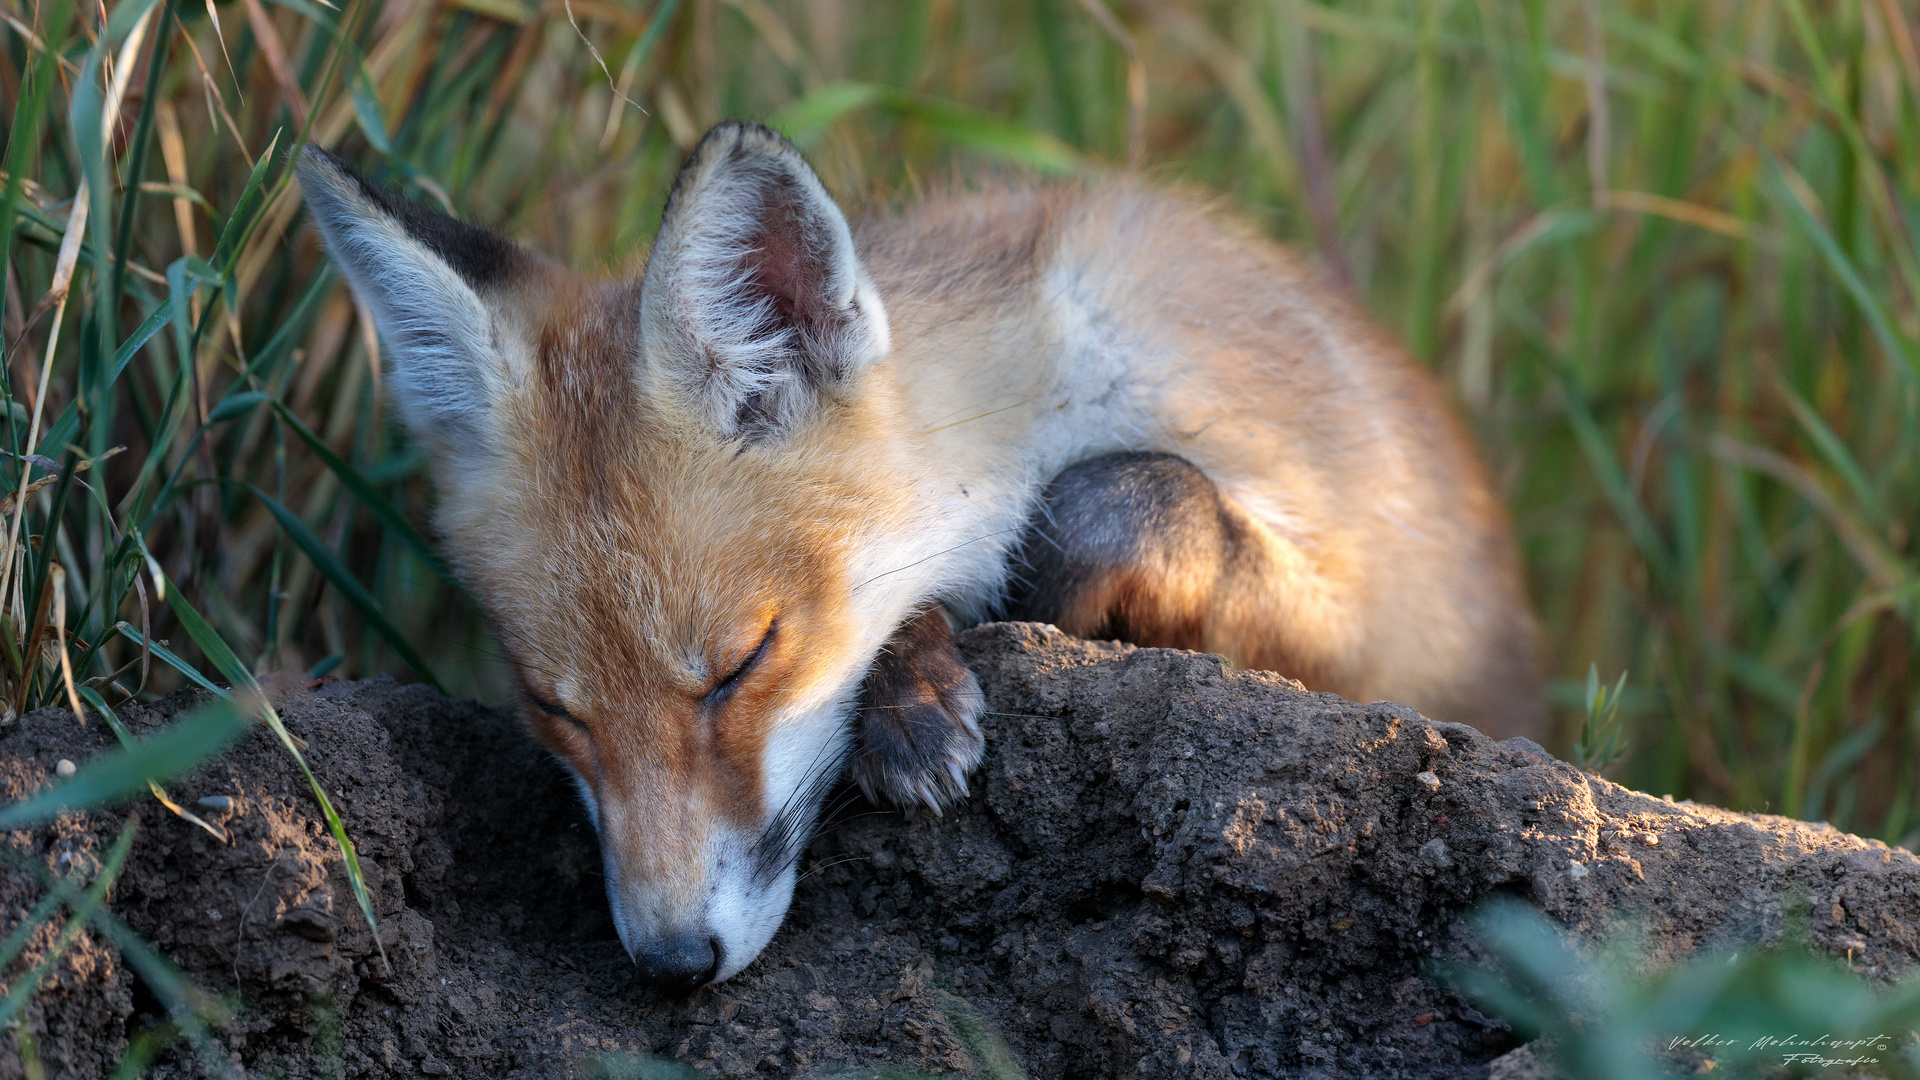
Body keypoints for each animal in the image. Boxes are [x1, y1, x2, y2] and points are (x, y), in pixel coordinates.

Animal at [291, 122, 1536, 991]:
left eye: (743, 666)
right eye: (557, 713)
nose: (671, 965)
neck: (1043, 376)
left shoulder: (1366, 618)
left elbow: (1114, 501)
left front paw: (1010, 618)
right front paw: (910, 687)